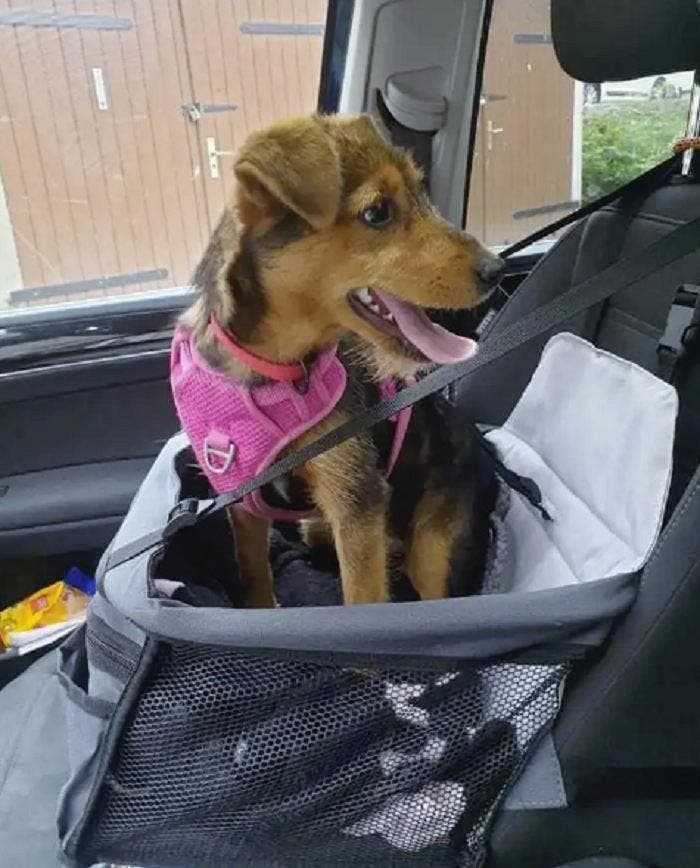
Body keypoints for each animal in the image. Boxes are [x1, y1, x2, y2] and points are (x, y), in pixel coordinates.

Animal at [175, 113, 504, 604]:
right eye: (377, 212)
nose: (496, 270)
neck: (279, 370)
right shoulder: (243, 501)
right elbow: (253, 573)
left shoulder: (355, 503)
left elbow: (361, 599)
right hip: (317, 527)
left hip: (437, 546)